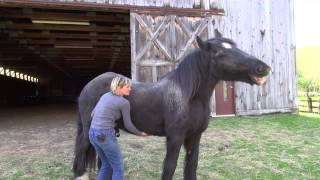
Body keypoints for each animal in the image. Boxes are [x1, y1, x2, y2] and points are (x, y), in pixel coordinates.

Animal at [72, 30, 270, 179]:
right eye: (219, 53)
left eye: (235, 47)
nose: (263, 68)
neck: (189, 97)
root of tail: (88, 85)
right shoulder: (175, 138)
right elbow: (170, 167)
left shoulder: (195, 137)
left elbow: (191, 165)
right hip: (89, 128)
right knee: (81, 150)